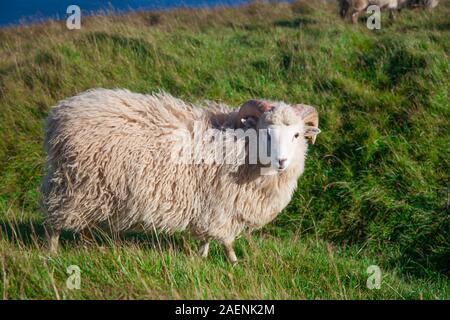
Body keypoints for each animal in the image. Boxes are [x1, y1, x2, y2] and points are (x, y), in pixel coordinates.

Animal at [40, 89, 318, 264]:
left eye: (296, 135)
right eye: (266, 132)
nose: (282, 162)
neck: (240, 145)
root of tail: (59, 116)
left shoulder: (212, 204)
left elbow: (207, 236)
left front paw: (201, 256)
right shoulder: (221, 203)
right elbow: (226, 239)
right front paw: (235, 263)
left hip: (89, 187)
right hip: (74, 184)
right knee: (54, 221)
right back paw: (51, 254)